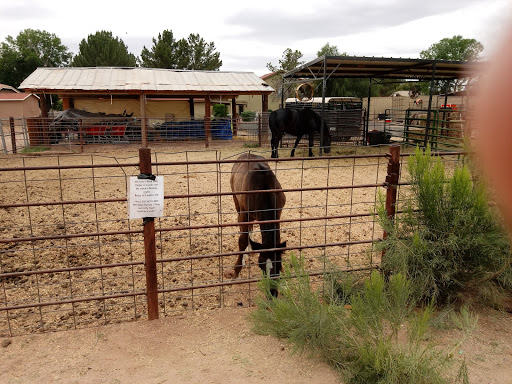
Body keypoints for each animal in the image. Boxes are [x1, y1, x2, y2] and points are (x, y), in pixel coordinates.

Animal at [225, 153, 286, 296]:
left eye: (279, 265)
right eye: (261, 266)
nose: (272, 293)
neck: (264, 190)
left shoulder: (278, 214)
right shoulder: (244, 214)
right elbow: (242, 240)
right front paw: (237, 272)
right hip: (236, 202)